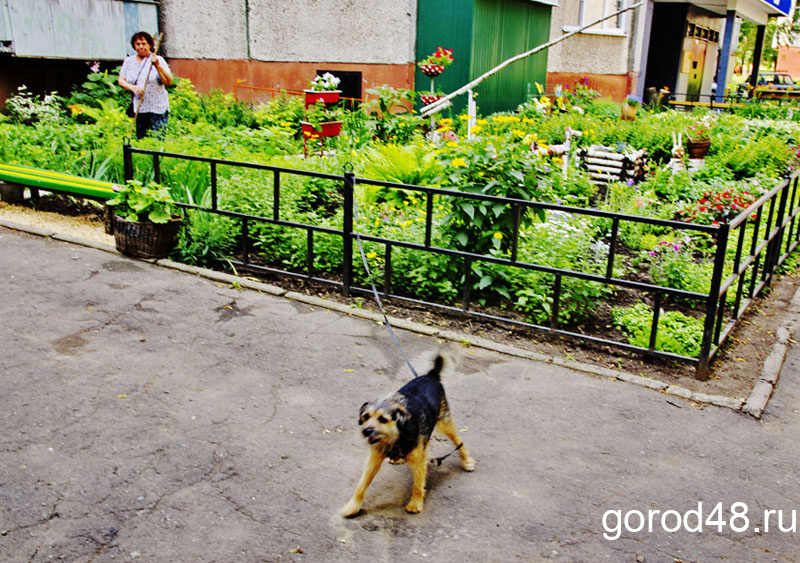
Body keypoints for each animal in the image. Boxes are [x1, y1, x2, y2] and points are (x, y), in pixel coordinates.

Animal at [340, 354, 476, 516]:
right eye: (366, 416)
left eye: (383, 419)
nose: (366, 431)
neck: (398, 433)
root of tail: (431, 375)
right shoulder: (374, 459)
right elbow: (362, 484)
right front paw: (353, 506)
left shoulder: (419, 459)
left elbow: (417, 483)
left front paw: (415, 503)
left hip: (445, 422)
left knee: (458, 441)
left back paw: (467, 461)